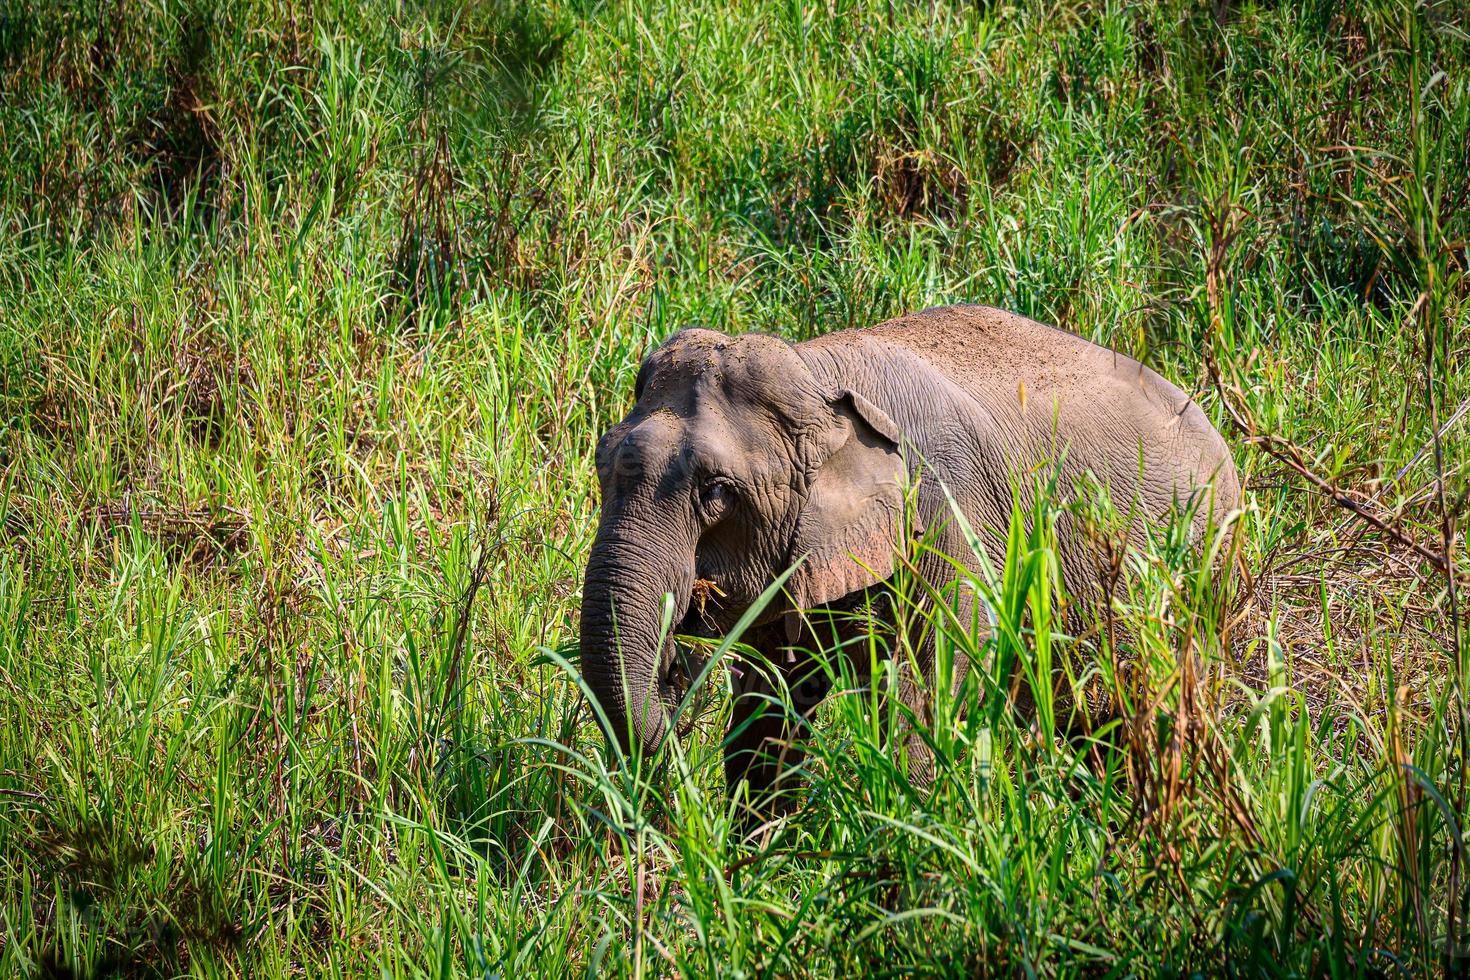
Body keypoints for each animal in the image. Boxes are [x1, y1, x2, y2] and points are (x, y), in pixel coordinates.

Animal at [576, 302, 1240, 811]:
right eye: (602, 464)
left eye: (715, 491)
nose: (674, 681)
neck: (817, 372)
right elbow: (768, 711)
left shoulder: (952, 516)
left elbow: (930, 696)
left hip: (1206, 575)